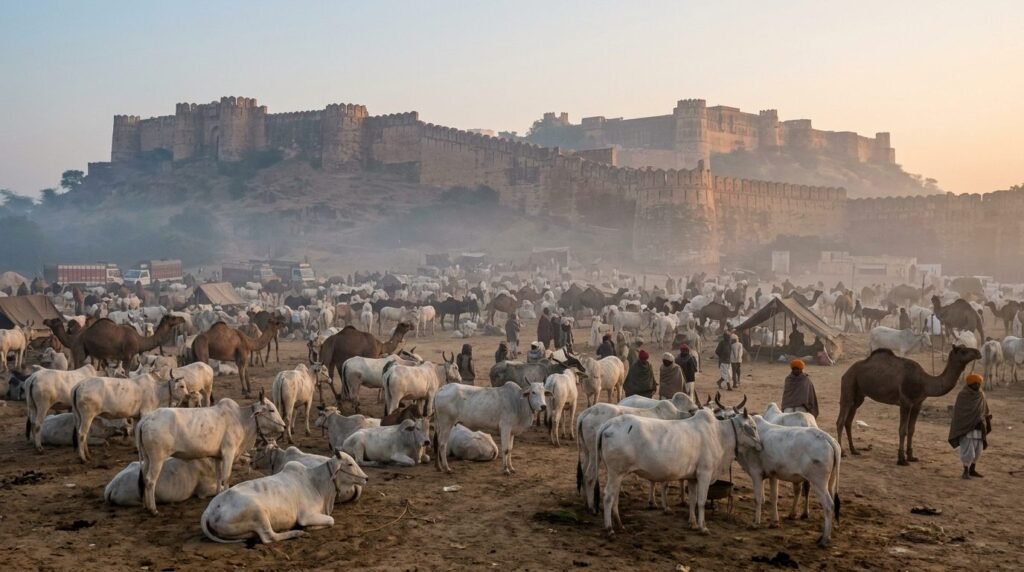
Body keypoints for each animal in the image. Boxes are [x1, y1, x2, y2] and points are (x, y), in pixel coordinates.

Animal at [201, 451, 368, 544]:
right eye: (349, 464)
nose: (366, 478)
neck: (317, 482)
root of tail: (210, 509)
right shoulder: (306, 516)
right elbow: (330, 520)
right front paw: (308, 528)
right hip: (258, 512)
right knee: (269, 537)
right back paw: (296, 533)